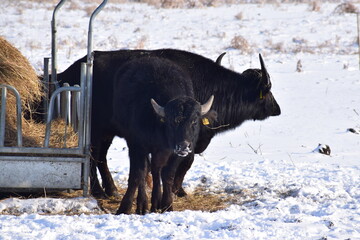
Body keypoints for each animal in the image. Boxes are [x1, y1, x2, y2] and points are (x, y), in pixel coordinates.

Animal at [111, 56, 215, 214]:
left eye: (194, 121)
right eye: (172, 122)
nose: (184, 146)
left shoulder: (173, 153)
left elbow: (167, 175)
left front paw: (166, 205)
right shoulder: (137, 145)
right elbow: (138, 174)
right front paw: (128, 207)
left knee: (155, 170)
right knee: (145, 171)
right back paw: (143, 204)